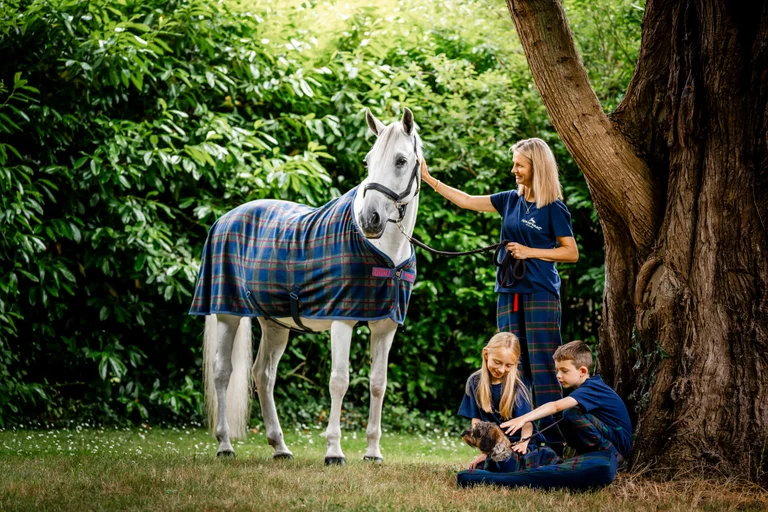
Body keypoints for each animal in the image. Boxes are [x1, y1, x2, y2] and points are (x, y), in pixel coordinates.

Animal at [189, 108, 422, 464]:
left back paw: (279, 447)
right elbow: (339, 381)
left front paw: (372, 452)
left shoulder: (385, 326)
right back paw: (225, 444)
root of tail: (224, 219)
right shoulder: (341, 320)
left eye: (401, 160)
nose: (370, 220)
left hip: (274, 324)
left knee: (263, 375)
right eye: (368, 161)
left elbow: (378, 383)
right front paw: (334, 451)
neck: (386, 252)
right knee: (222, 373)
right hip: (228, 314)